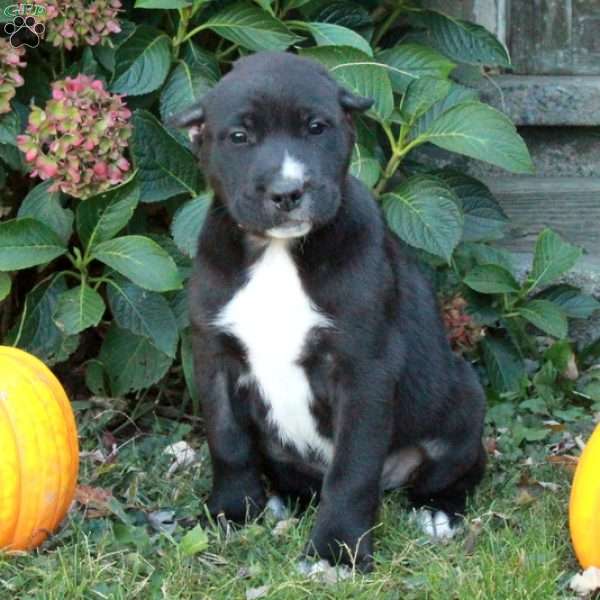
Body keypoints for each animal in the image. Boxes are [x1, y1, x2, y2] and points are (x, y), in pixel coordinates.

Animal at [175, 52, 488, 572]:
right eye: (239, 137)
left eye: (317, 128)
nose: (288, 191)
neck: (278, 252)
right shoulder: (214, 357)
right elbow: (228, 442)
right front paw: (232, 512)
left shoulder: (363, 371)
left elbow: (351, 470)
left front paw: (337, 552)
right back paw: (280, 499)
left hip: (462, 398)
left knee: (456, 470)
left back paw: (436, 511)